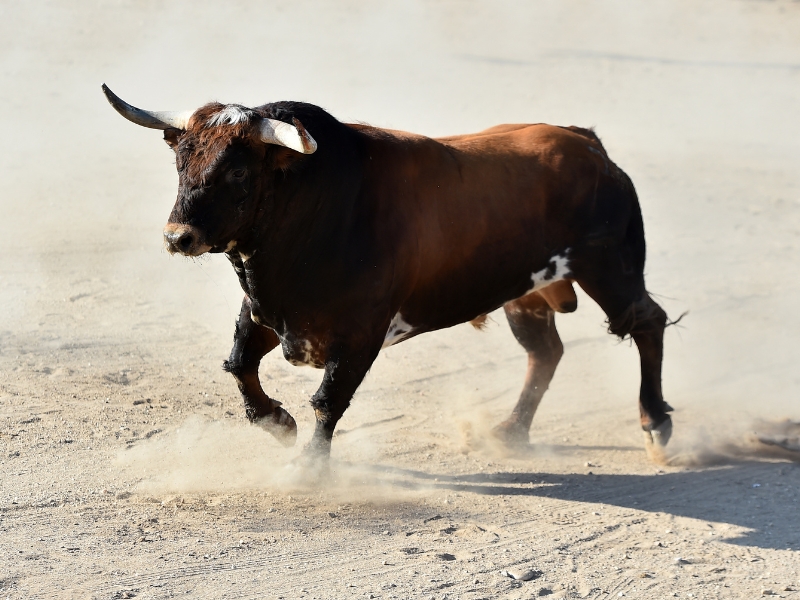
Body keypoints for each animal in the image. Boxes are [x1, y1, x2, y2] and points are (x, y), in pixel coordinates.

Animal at [101, 83, 676, 460]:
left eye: (239, 170)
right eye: (181, 161)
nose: (178, 238)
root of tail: (588, 143)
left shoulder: (360, 333)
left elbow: (328, 400)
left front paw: (310, 469)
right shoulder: (266, 310)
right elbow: (240, 365)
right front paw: (279, 424)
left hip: (610, 268)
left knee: (645, 322)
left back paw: (655, 425)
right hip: (526, 291)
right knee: (546, 353)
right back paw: (510, 431)